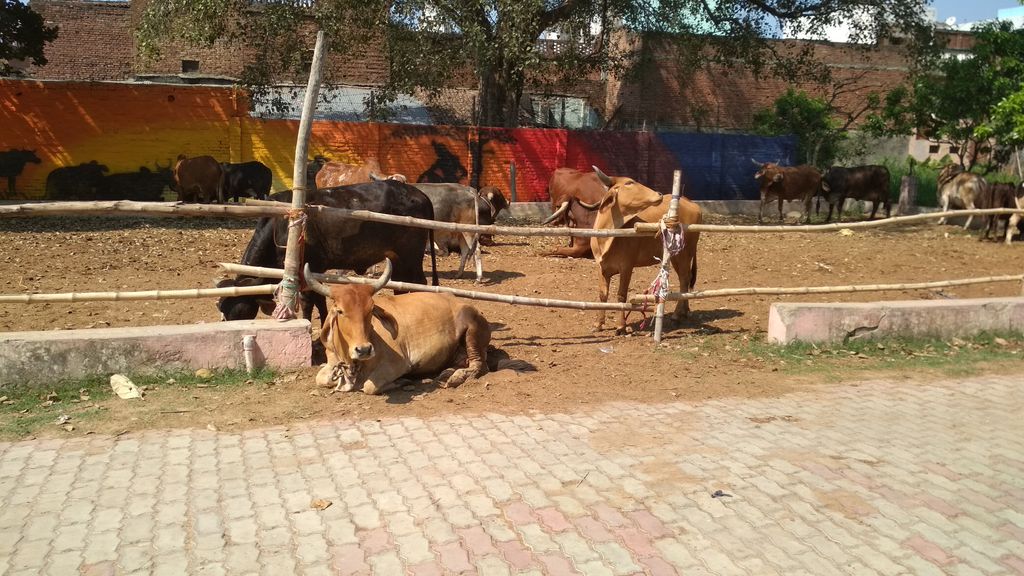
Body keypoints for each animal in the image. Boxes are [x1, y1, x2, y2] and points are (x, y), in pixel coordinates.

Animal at [216, 180, 439, 325]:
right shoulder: (313, 271)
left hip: (411, 257)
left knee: (420, 283)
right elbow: (317, 300)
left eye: (239, 311)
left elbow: (310, 301)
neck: (279, 226)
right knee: (402, 286)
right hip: (397, 258)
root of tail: (420, 194)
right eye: (222, 309)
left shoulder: (309, 266)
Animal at [307, 259, 490, 395]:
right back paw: (447, 372)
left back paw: (455, 377)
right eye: (340, 311)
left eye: (371, 309)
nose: (364, 350)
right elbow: (321, 379)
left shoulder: (399, 364)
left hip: (471, 328)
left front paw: (401, 381)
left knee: (479, 365)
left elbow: (369, 386)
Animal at [589, 167, 701, 335]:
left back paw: (676, 314)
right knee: (686, 279)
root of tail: (693, 205)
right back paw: (684, 311)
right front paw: (598, 323)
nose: (659, 194)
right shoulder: (601, 267)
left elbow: (621, 295)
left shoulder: (626, 266)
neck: (607, 235)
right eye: (629, 182)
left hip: (682, 254)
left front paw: (621, 326)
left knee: (684, 279)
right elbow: (603, 295)